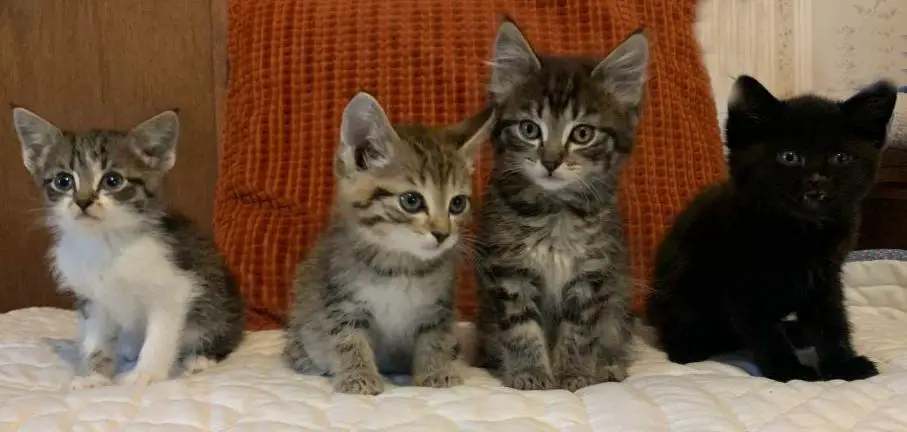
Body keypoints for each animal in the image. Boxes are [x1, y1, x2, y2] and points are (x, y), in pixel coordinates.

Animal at [12, 107, 245, 388]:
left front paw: (146, 373)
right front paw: (94, 375)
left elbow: (160, 334)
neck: (105, 242)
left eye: (112, 180)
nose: (83, 201)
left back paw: (199, 358)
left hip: (216, 297)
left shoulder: (175, 288)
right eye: (63, 180)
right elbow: (96, 340)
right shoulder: (93, 301)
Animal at [286, 91, 494, 394]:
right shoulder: (342, 300)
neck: (400, 265)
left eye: (457, 204)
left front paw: (436, 371)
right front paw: (358, 375)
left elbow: (434, 338)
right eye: (411, 201)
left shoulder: (438, 307)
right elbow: (348, 339)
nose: (443, 233)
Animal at [472, 19, 648, 392]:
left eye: (582, 134)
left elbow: (579, 331)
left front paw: (573, 374)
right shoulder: (508, 271)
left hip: (619, 300)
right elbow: (521, 328)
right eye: (529, 129)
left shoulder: (593, 273)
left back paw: (608, 364)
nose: (550, 161)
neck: (555, 210)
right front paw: (530, 372)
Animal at [648, 76, 896, 384]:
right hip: (681, 283)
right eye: (789, 157)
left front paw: (843, 363)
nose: (817, 179)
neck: (801, 232)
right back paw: (689, 346)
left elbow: (831, 319)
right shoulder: (742, 282)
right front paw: (789, 370)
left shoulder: (826, 276)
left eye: (840, 157)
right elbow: (764, 330)